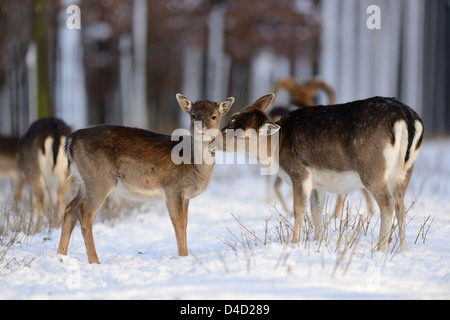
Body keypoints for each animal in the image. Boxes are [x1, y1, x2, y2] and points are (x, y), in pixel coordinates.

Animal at [56, 94, 234, 264]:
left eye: (213, 116)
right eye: (193, 115)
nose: (200, 128)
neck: (191, 163)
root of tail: (70, 140)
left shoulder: (185, 195)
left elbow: (185, 223)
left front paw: (184, 255)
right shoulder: (172, 188)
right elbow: (179, 223)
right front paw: (183, 256)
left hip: (84, 180)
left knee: (70, 209)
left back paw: (60, 256)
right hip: (98, 179)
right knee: (85, 212)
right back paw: (94, 260)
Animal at [213, 94, 424, 251]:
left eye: (241, 135)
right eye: (231, 117)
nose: (214, 140)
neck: (276, 151)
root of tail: (407, 118)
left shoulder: (300, 172)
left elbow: (299, 209)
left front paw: (294, 243)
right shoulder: (317, 183)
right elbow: (317, 211)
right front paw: (319, 241)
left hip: (373, 170)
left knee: (388, 203)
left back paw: (380, 250)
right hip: (405, 171)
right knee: (401, 205)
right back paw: (403, 250)